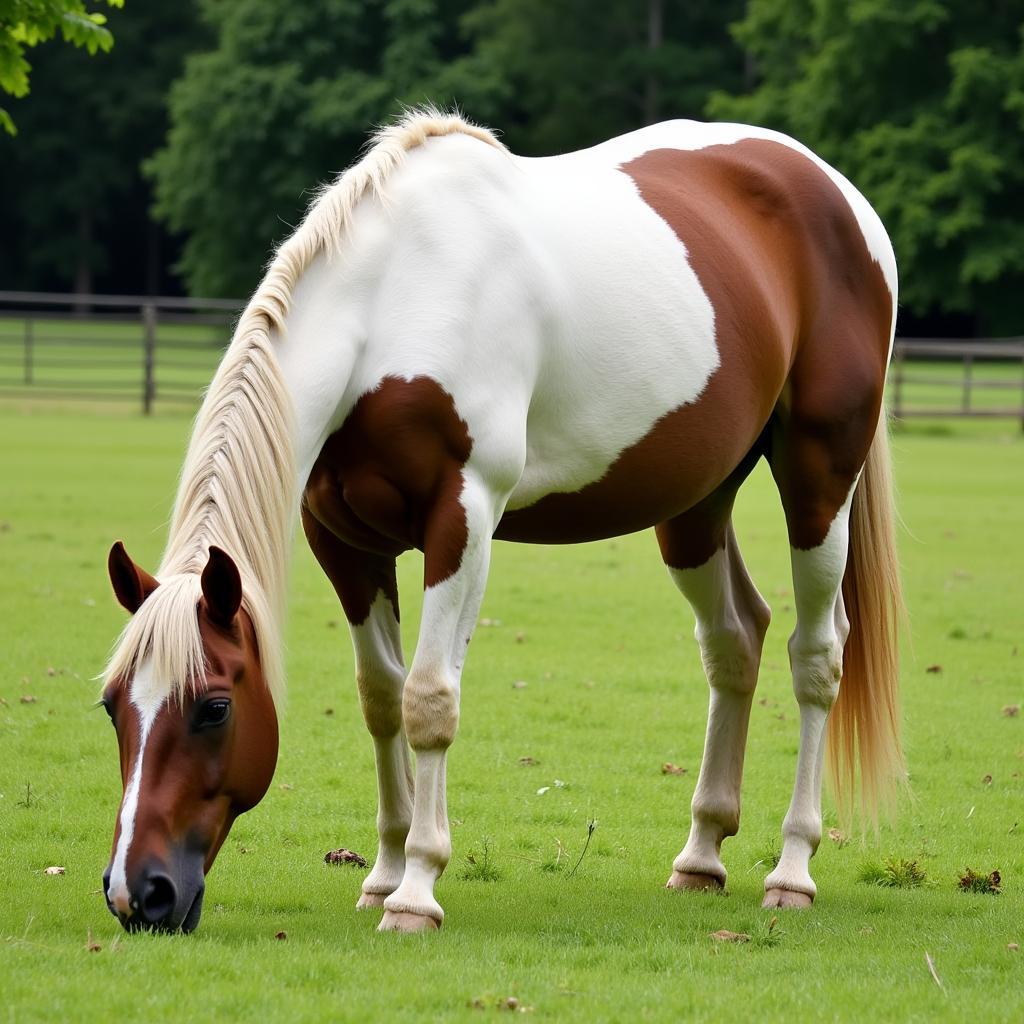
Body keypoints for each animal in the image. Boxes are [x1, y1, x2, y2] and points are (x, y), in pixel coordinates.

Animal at [101, 110, 905, 937]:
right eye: (112, 705)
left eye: (214, 707)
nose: (141, 894)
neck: (393, 299)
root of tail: (835, 191)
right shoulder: (347, 543)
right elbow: (382, 698)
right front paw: (383, 874)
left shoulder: (462, 518)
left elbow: (429, 697)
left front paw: (417, 890)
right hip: (696, 505)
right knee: (734, 639)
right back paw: (701, 856)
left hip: (819, 480)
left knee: (816, 656)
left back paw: (793, 868)